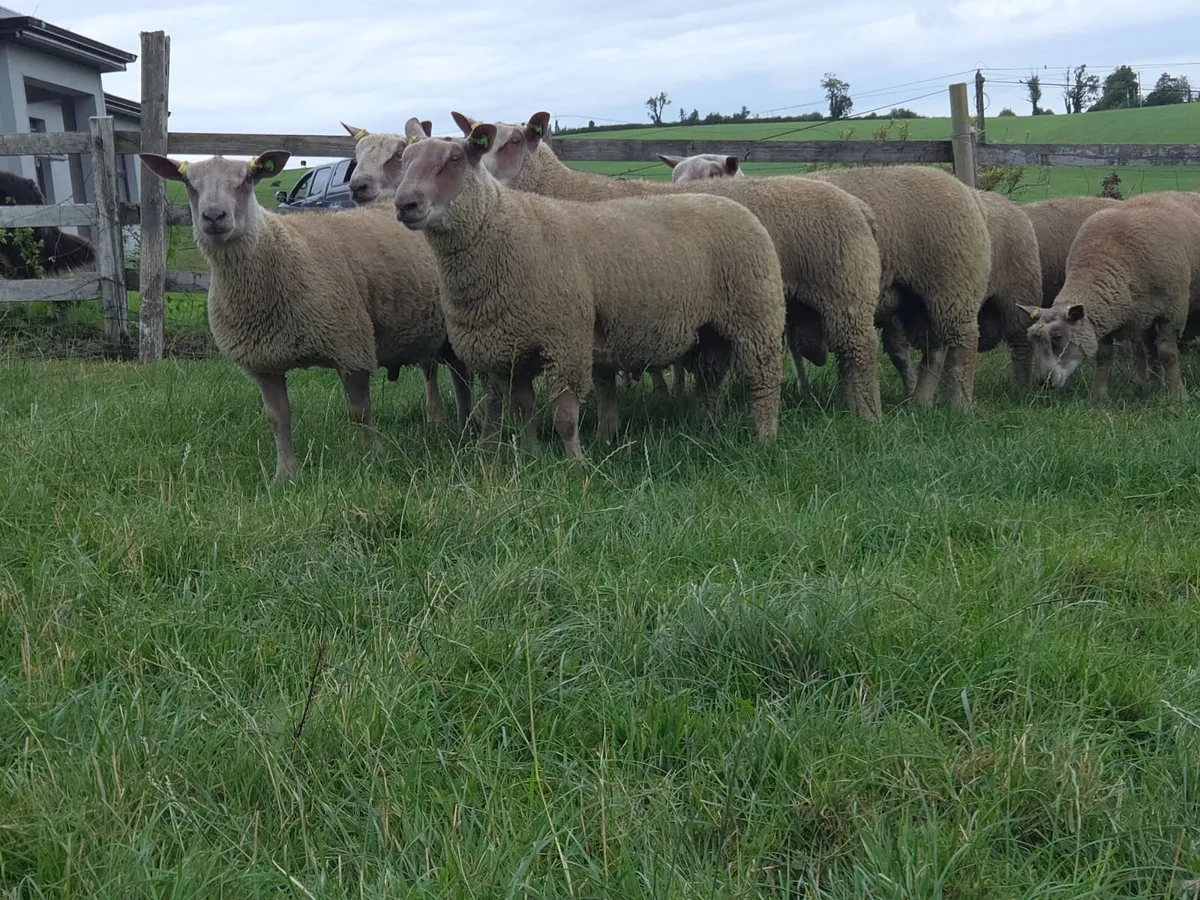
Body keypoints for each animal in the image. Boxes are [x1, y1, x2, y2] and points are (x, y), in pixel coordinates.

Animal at [138, 149, 474, 481]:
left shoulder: (350, 346)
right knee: (438, 370)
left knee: (459, 376)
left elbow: (360, 411)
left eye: (247, 179)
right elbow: (277, 418)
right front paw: (286, 474)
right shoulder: (264, 361)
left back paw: (463, 424)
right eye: (188, 182)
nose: (213, 216)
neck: (280, 250)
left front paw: (374, 457)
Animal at [391, 122, 787, 458]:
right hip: (711, 327)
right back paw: (706, 424)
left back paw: (765, 437)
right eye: (404, 162)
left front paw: (574, 464)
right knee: (712, 375)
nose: (404, 204)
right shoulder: (509, 349)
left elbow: (565, 416)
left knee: (764, 377)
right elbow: (521, 410)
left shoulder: (565, 340)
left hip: (756, 313)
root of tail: (730, 202)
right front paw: (532, 456)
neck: (503, 231)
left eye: (455, 159)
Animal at [453, 110, 885, 421]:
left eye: (513, 141)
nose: (477, 174)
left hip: (845, 288)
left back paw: (866, 416)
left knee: (861, 352)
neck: (558, 189)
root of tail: (857, 205)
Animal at [1016, 190, 1200, 401]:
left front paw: (1178, 396)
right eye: (1032, 339)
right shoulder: (1105, 316)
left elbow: (1168, 354)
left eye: (1057, 336)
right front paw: (1098, 396)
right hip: (1146, 316)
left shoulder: (1173, 312)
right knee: (1148, 347)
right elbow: (1103, 356)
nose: (1044, 382)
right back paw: (1154, 382)